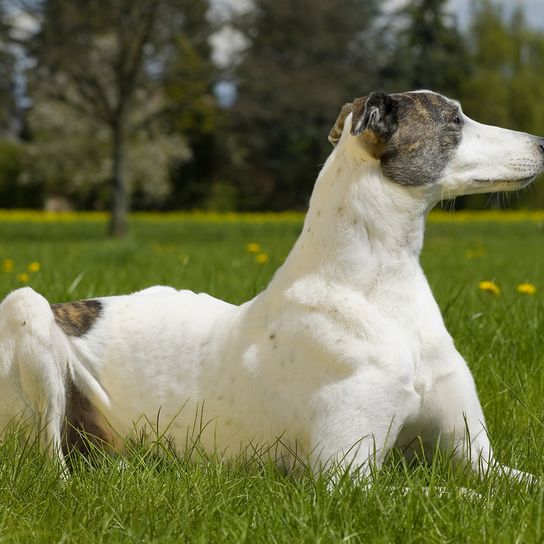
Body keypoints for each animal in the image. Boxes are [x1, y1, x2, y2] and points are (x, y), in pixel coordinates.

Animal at [1, 91, 544, 482]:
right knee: (52, 466)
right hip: (26, 309)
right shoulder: (347, 479)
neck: (376, 291)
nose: (542, 144)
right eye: (454, 121)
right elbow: (444, 493)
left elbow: (511, 484)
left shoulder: (479, 458)